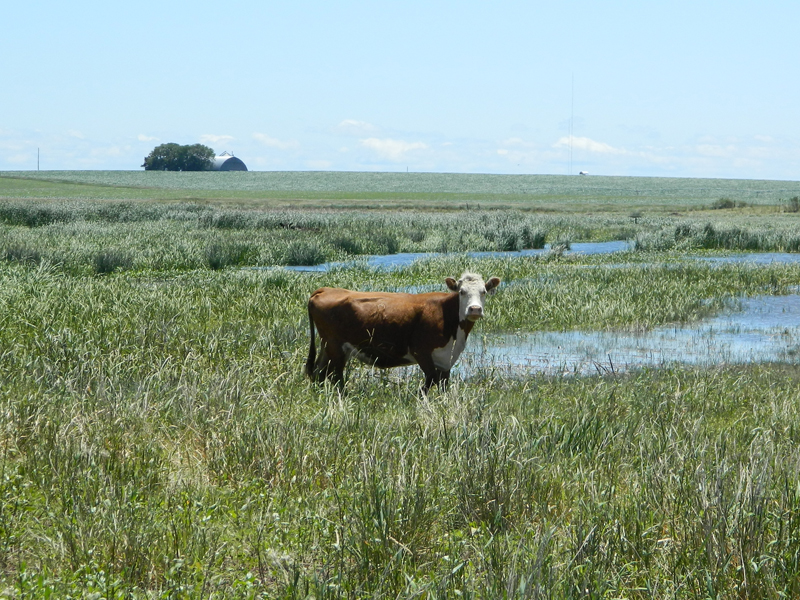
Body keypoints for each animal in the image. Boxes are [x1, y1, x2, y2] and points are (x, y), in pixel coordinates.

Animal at [304, 274, 500, 394]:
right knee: (335, 375)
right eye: (462, 291)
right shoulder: (420, 350)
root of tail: (326, 289)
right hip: (334, 345)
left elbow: (443, 384)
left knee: (319, 372)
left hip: (330, 347)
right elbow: (430, 380)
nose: (474, 309)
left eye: (483, 292)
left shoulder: (447, 358)